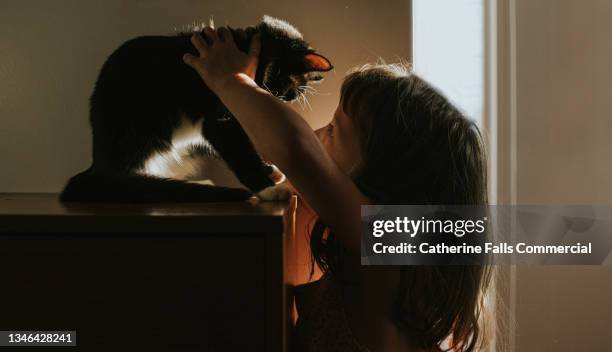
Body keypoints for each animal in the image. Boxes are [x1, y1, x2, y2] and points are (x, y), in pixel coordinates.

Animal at [59, 16, 332, 202]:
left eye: (289, 96)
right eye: (288, 89)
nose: (279, 99)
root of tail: (98, 163)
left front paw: (270, 172)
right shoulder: (219, 120)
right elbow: (240, 152)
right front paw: (268, 187)